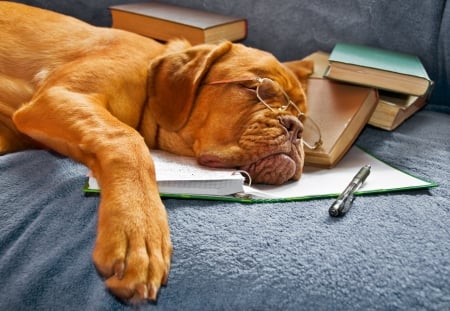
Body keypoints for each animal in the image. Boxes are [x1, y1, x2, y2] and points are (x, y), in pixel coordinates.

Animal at [0, 1, 312, 304]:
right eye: (256, 88)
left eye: (302, 115)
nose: (296, 127)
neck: (150, 83)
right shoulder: (60, 96)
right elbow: (127, 139)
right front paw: (138, 230)